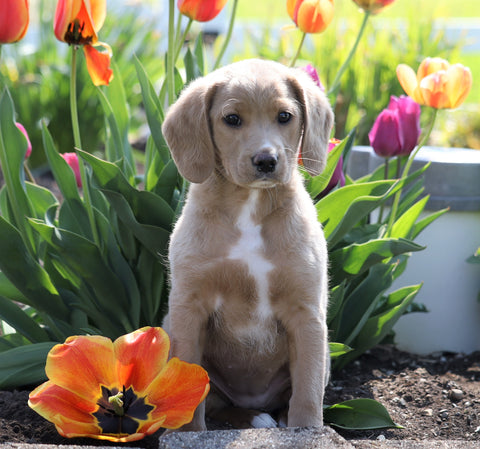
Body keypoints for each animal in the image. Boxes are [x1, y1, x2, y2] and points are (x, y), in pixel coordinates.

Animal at [161, 57, 334, 428]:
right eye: (231, 119)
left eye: (284, 116)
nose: (266, 160)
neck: (249, 209)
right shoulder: (189, 308)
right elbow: (190, 391)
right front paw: (190, 433)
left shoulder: (307, 314)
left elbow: (307, 391)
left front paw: (306, 430)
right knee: (219, 405)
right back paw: (253, 418)